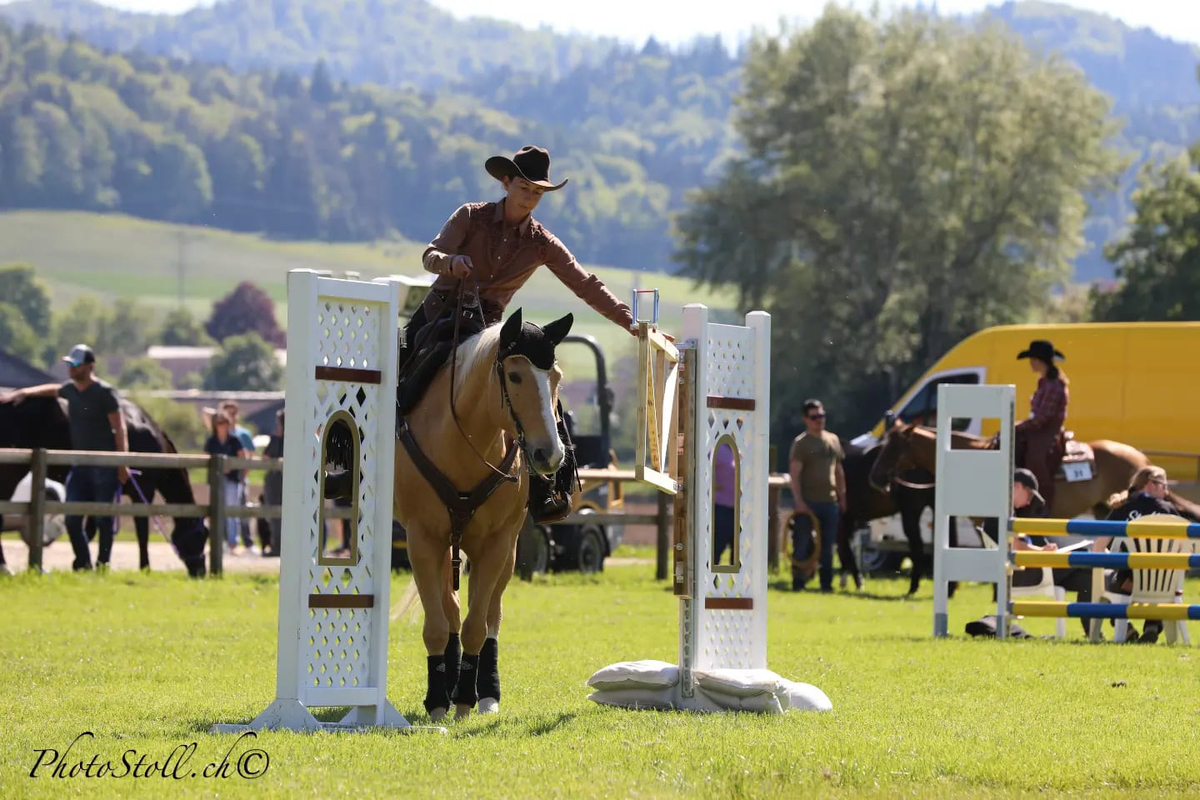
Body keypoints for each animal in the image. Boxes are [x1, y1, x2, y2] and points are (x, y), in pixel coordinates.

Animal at [393, 309, 571, 724]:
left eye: (555, 376)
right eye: (515, 376)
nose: (551, 455)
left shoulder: (496, 544)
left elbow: (478, 624)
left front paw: (465, 700)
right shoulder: (423, 540)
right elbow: (438, 626)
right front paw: (438, 700)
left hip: (503, 550)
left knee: (490, 614)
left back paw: (485, 693)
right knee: (451, 610)